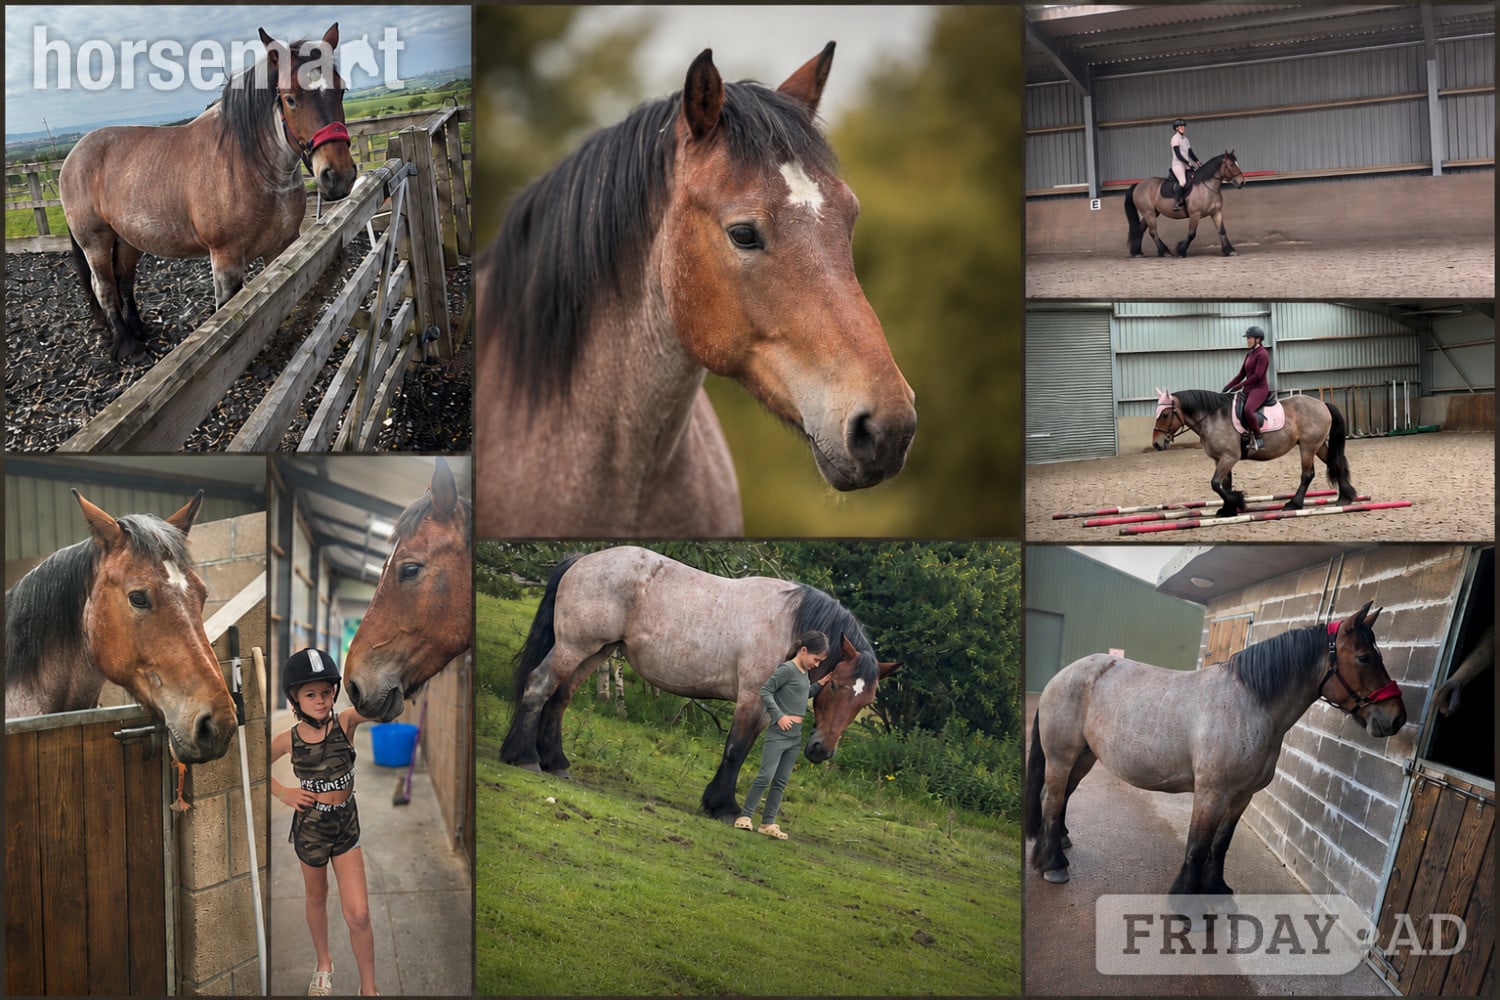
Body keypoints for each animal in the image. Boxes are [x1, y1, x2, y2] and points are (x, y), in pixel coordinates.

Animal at [60, 23, 358, 362]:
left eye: (341, 90)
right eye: (290, 99)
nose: (338, 175)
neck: (250, 165)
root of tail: (73, 156)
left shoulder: (281, 245)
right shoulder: (225, 259)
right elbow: (228, 308)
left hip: (126, 239)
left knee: (124, 279)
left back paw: (138, 329)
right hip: (95, 242)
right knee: (105, 288)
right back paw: (129, 345)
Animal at [499, 546, 900, 818]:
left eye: (865, 702)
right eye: (833, 687)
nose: (821, 751)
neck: (790, 627)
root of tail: (583, 559)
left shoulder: (765, 706)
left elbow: (744, 749)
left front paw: (719, 802)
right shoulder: (752, 696)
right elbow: (736, 748)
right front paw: (724, 807)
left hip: (595, 652)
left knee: (559, 698)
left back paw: (556, 762)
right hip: (574, 647)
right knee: (539, 687)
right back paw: (525, 757)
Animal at [1025, 602, 1405, 896]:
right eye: (1364, 657)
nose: (1396, 718)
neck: (1249, 704)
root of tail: (1063, 675)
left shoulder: (1242, 796)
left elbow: (1221, 844)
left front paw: (1216, 887)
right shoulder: (1211, 793)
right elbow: (1197, 846)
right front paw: (1186, 902)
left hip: (1084, 757)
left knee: (1063, 797)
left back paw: (1060, 843)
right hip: (1061, 756)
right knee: (1051, 798)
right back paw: (1053, 864)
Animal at [1152, 387, 1358, 517]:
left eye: (1165, 414)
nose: (1156, 443)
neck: (1213, 418)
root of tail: (1322, 404)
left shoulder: (1229, 457)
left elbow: (1216, 484)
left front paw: (1238, 501)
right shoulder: (1221, 459)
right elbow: (1224, 484)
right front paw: (1228, 509)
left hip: (1308, 447)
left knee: (1307, 474)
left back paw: (1293, 504)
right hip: (1317, 445)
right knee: (1335, 464)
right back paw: (1345, 497)